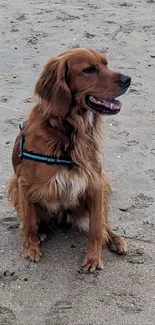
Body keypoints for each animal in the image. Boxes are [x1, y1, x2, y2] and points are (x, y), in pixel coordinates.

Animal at [7, 47, 131, 270]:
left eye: (106, 64)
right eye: (89, 69)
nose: (128, 79)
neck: (69, 131)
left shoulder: (95, 182)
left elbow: (96, 227)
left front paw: (93, 258)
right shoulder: (22, 182)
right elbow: (29, 222)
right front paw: (30, 248)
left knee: (104, 223)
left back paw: (115, 239)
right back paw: (41, 232)